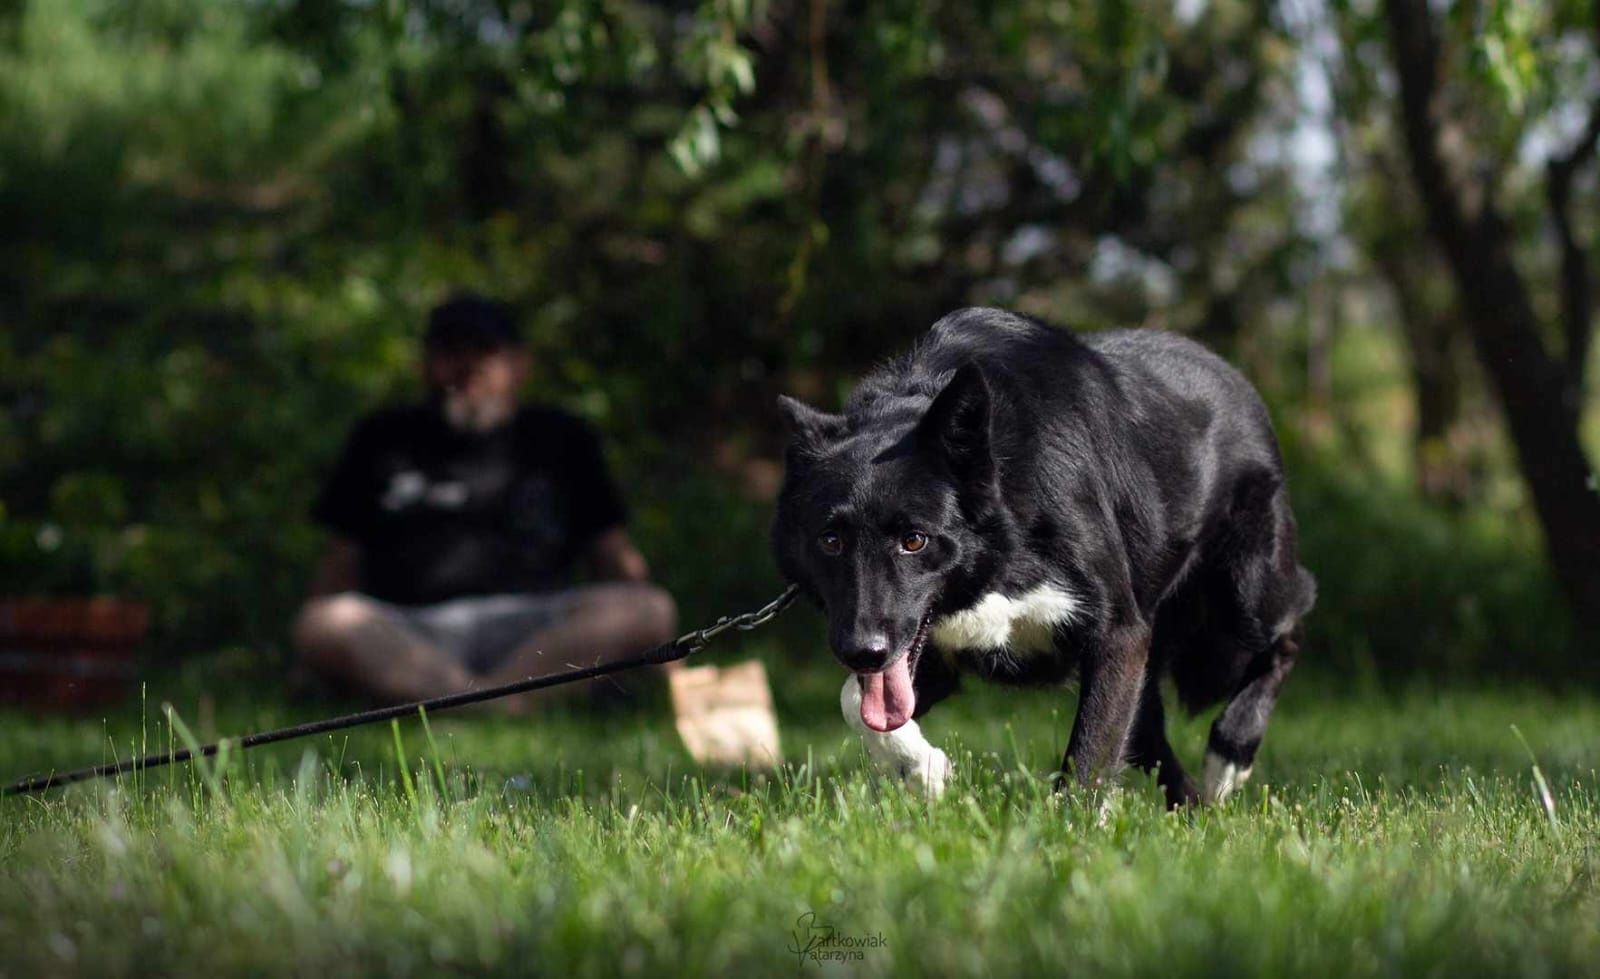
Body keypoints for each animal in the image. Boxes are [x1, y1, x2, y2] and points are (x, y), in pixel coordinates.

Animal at [771, 310, 1312, 806]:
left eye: (915, 541)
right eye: (830, 541)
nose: (862, 651)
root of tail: (1228, 371)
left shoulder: (1117, 632)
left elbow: (1089, 754)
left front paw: (1074, 831)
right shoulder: (937, 654)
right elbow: (853, 701)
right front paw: (921, 769)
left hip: (1245, 596)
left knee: (1291, 624)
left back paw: (1230, 756)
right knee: (1148, 731)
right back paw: (1195, 809)